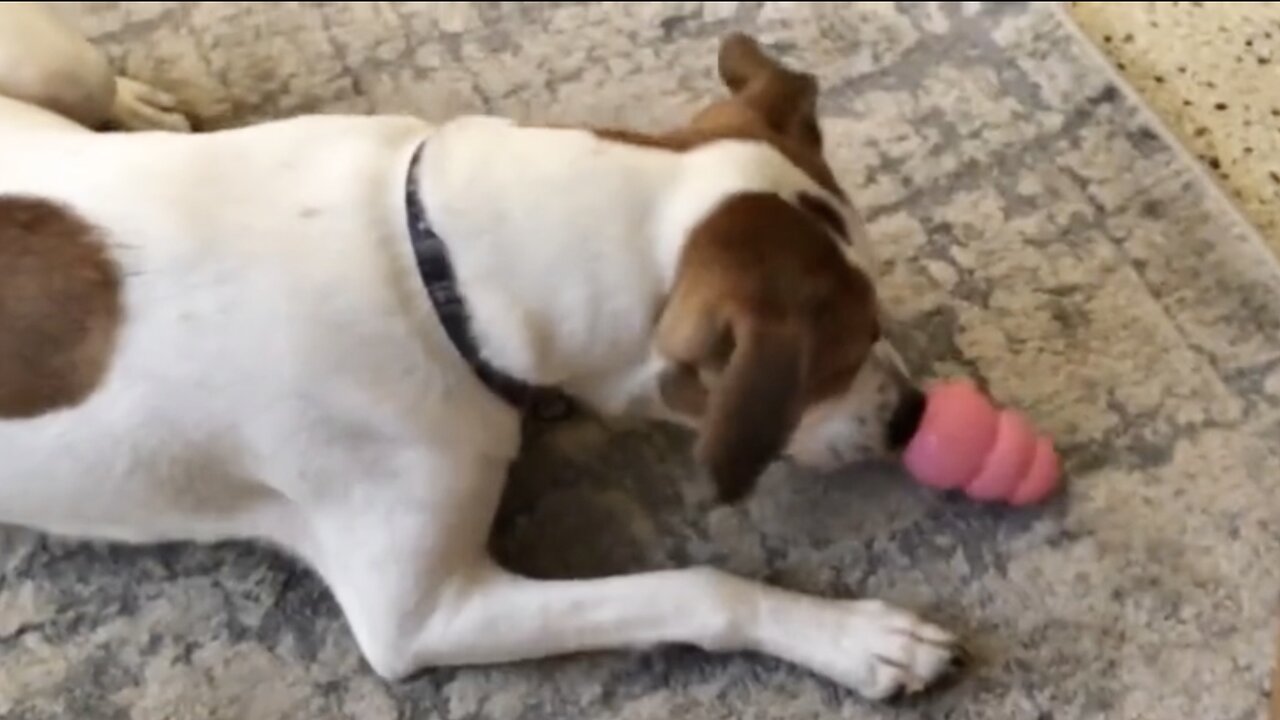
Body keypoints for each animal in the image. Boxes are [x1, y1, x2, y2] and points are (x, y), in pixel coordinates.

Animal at [0, 1, 962, 702]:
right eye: (838, 356)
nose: (913, 417)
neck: (436, 264)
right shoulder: (423, 615)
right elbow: (698, 587)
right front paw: (852, 635)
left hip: (58, 66)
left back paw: (136, 107)